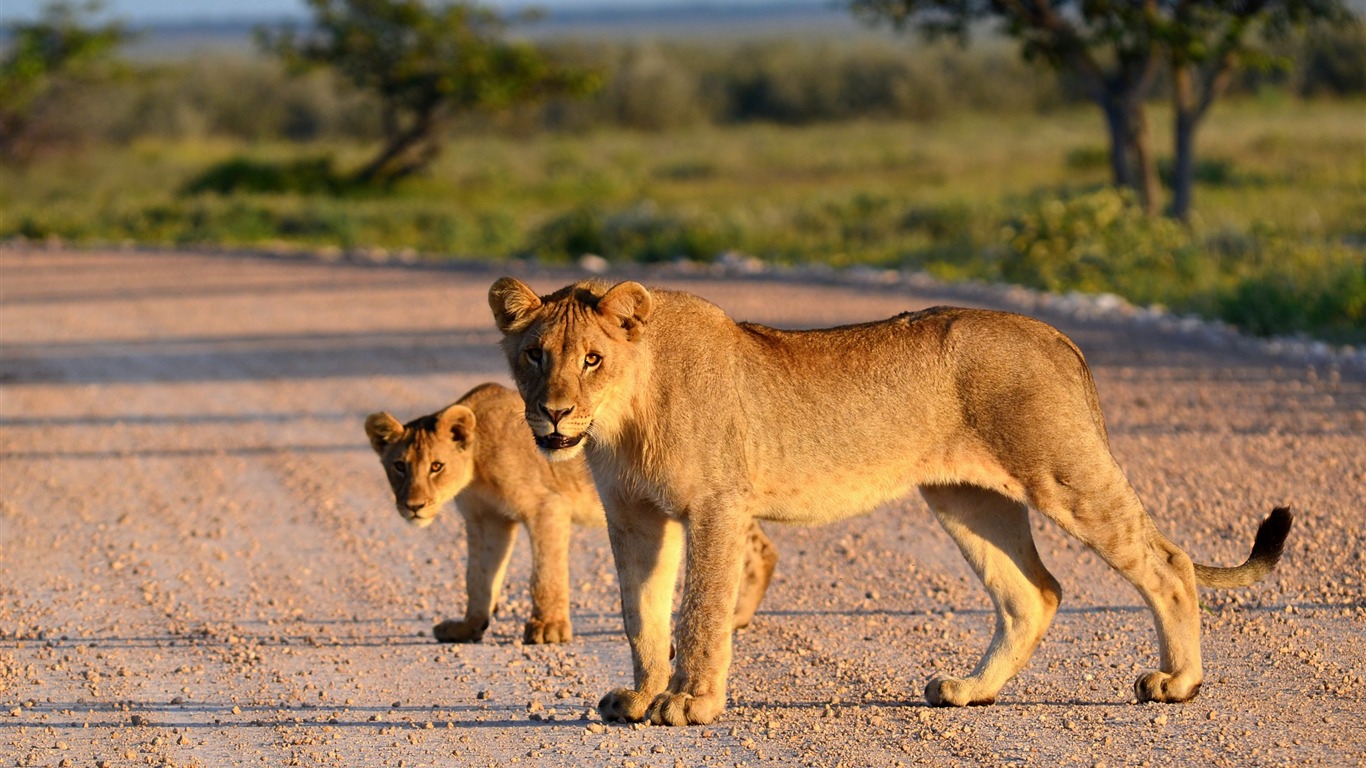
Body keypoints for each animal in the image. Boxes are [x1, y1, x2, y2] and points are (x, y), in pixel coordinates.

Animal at [365, 382, 778, 645]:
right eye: (400, 466)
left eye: (436, 466)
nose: (414, 505)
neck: (477, 465)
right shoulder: (486, 521)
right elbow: (478, 578)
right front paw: (467, 627)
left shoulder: (547, 507)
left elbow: (545, 574)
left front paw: (548, 629)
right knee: (764, 549)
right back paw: (739, 616)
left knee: (756, 549)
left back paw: (734, 617)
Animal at [488, 277, 1293, 726]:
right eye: (534, 356)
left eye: (593, 359)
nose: (554, 415)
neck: (627, 415)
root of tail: (1056, 334)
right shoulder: (635, 519)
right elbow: (641, 615)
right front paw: (640, 697)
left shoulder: (717, 507)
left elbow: (701, 611)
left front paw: (690, 703)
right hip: (968, 500)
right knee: (1033, 591)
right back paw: (970, 690)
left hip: (1062, 470)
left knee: (1167, 562)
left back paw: (1178, 683)